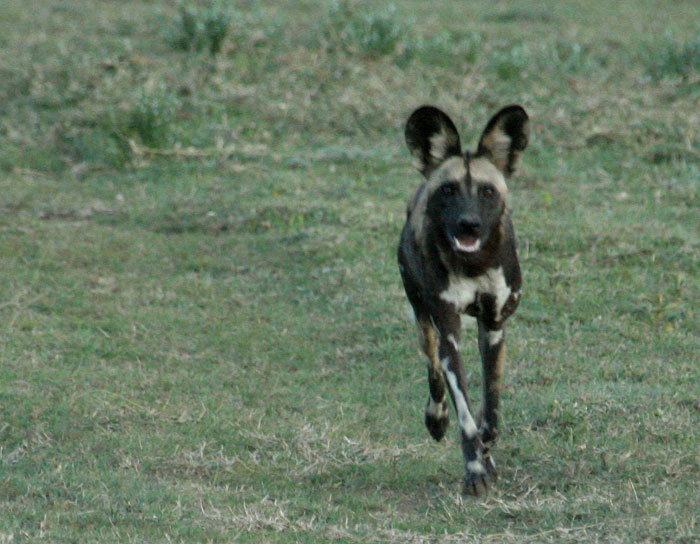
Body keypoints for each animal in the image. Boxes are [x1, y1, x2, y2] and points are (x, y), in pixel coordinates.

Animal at [396, 104, 528, 496]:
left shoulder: (494, 327)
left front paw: (487, 455)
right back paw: (436, 418)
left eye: (486, 191)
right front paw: (475, 471)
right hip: (423, 321)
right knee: (433, 372)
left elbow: (491, 410)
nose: (468, 225)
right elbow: (466, 415)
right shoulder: (449, 332)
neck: (474, 264)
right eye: (449, 190)